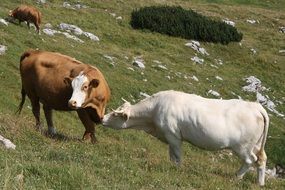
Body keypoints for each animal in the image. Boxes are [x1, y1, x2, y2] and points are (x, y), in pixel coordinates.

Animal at [102, 90, 268, 186]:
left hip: (243, 146)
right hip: (256, 145)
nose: (102, 118)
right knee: (261, 160)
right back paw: (260, 184)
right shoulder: (169, 137)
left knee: (250, 160)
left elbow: (177, 156)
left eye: (114, 114)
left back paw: (236, 178)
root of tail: (255, 106)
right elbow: (171, 155)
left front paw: (177, 170)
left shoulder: (173, 135)